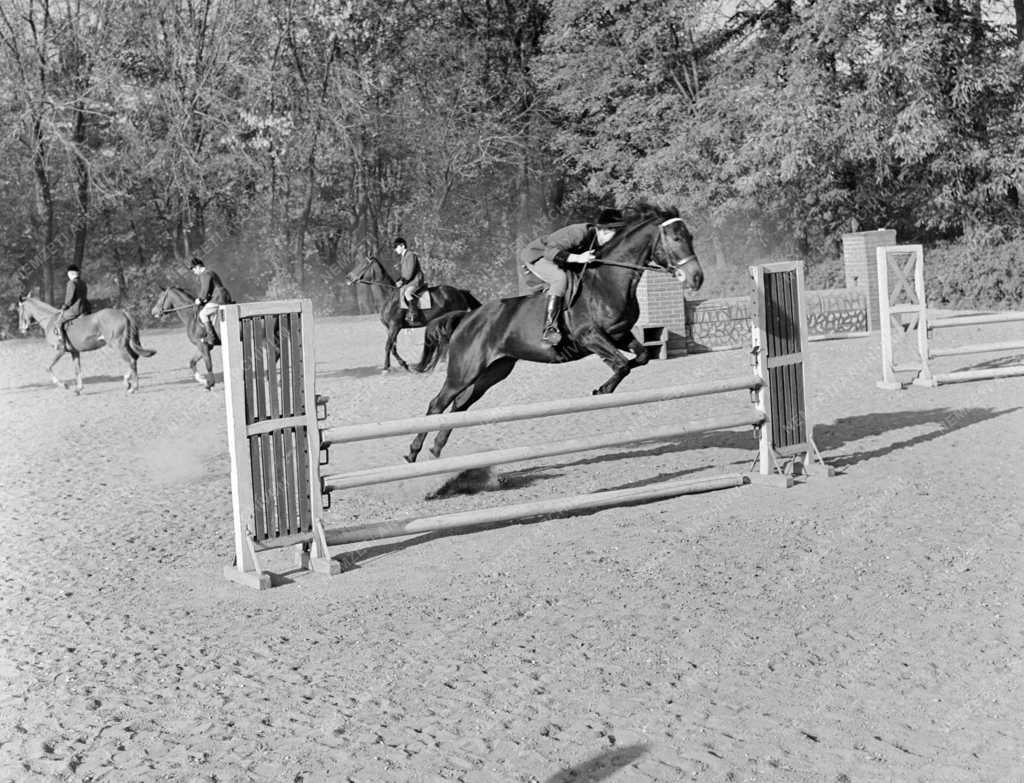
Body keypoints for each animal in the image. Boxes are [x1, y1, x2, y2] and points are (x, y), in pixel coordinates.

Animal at [17, 292, 156, 393]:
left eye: (19, 311)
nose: (21, 329)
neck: (50, 320)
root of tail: (122, 312)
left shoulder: (60, 350)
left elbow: (48, 367)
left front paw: (63, 385)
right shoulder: (74, 352)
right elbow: (77, 369)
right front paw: (78, 389)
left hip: (118, 345)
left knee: (131, 361)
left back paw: (132, 386)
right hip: (125, 344)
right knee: (135, 358)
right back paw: (129, 382)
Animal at [346, 251, 481, 370]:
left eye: (362, 265)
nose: (347, 278)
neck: (389, 296)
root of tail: (459, 292)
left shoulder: (394, 327)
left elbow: (387, 346)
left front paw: (386, 368)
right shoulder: (390, 328)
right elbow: (393, 348)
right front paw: (403, 365)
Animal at [405, 204, 704, 464]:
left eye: (690, 236)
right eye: (676, 238)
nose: (697, 278)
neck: (608, 281)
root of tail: (467, 317)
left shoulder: (619, 334)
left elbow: (639, 358)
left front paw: (607, 385)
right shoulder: (590, 336)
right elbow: (621, 364)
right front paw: (602, 390)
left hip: (494, 370)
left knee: (460, 405)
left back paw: (436, 449)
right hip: (464, 370)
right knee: (437, 404)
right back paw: (413, 452)